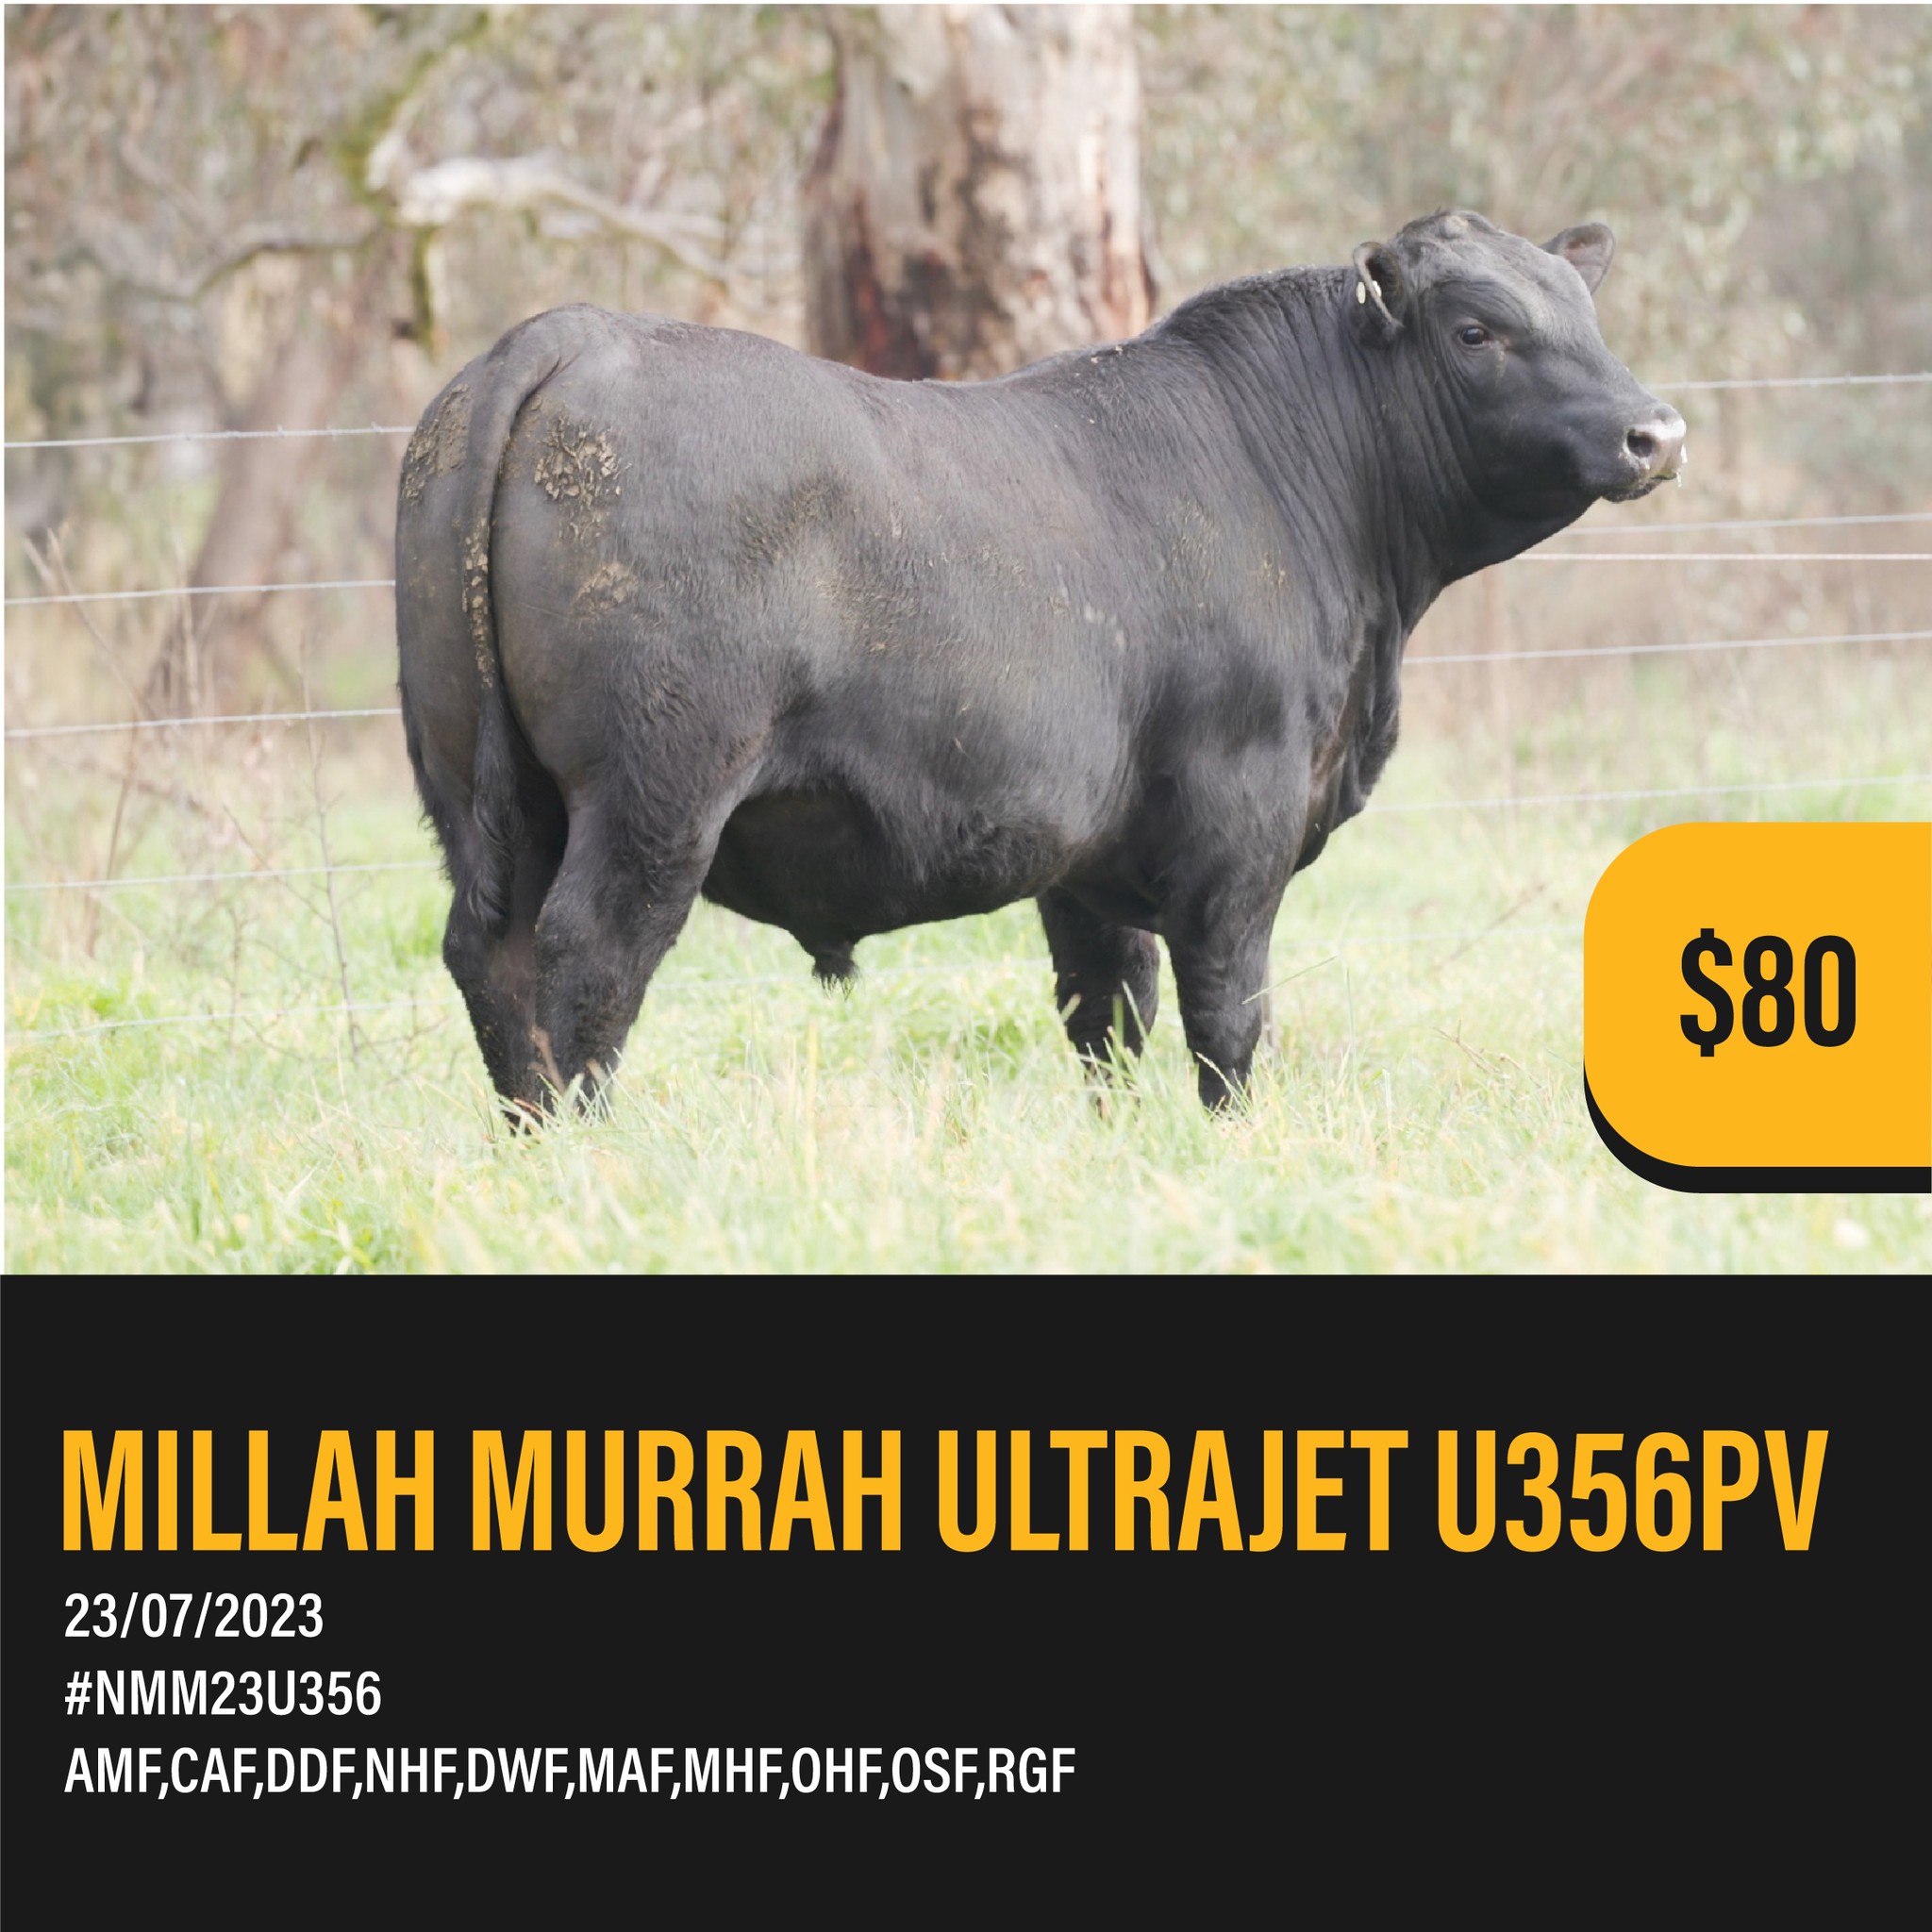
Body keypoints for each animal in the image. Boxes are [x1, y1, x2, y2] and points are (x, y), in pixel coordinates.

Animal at [396, 209, 1685, 1117]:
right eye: (1476, 329)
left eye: (1586, 313)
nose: (1655, 431)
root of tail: (574, 333)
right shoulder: (1239, 824)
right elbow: (1226, 1018)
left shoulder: (1088, 856)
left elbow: (1106, 1015)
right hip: (654, 792)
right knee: (588, 960)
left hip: (477, 791)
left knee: (489, 956)